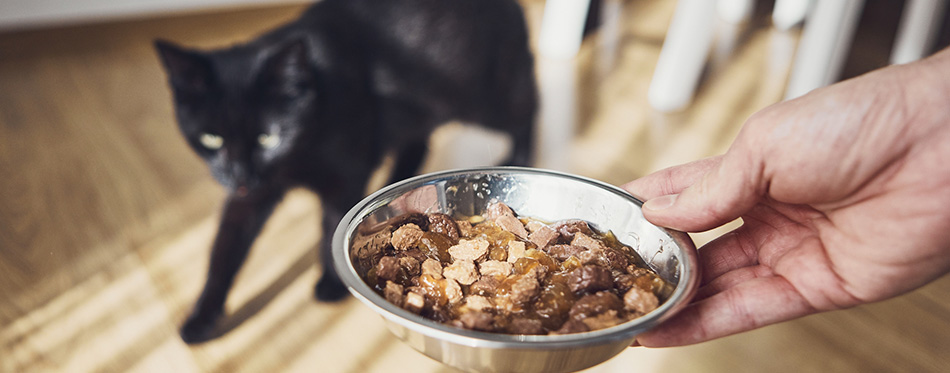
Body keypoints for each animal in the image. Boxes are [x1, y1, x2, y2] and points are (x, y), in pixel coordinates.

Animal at [159, 0, 540, 342]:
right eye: (211, 138)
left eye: (268, 137)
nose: (238, 175)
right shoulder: (251, 196)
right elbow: (224, 250)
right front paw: (201, 317)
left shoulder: (345, 176)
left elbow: (330, 224)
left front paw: (330, 283)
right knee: (419, 141)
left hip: (486, 98)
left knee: (529, 109)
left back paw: (519, 157)